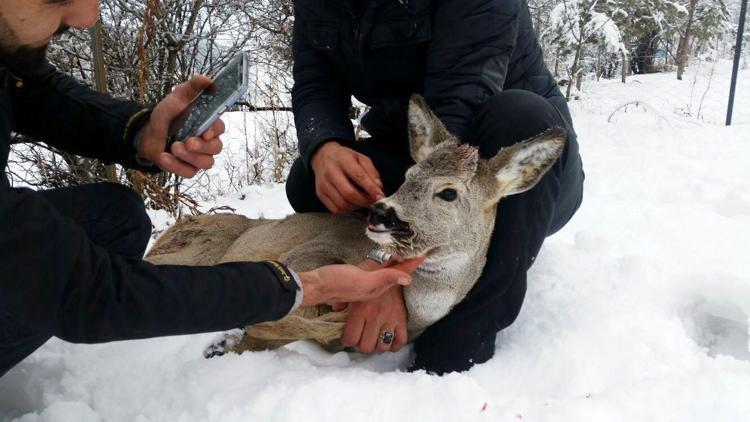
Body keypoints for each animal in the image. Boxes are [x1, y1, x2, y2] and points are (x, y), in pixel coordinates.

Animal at [147, 94, 568, 354]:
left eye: (448, 193)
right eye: (409, 175)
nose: (380, 212)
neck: (417, 310)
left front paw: (233, 341)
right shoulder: (309, 253)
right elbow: (297, 315)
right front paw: (231, 340)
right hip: (193, 251)